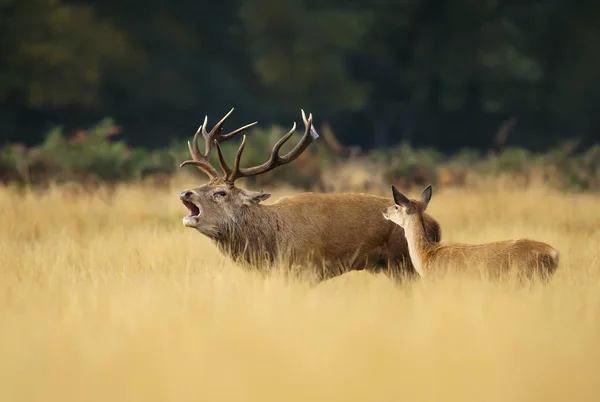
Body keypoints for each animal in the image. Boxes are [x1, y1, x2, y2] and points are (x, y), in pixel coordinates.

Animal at [176, 108, 442, 282]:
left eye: (221, 193)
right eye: (204, 184)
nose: (185, 192)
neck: (271, 244)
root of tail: (435, 226)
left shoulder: (304, 269)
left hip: (405, 264)